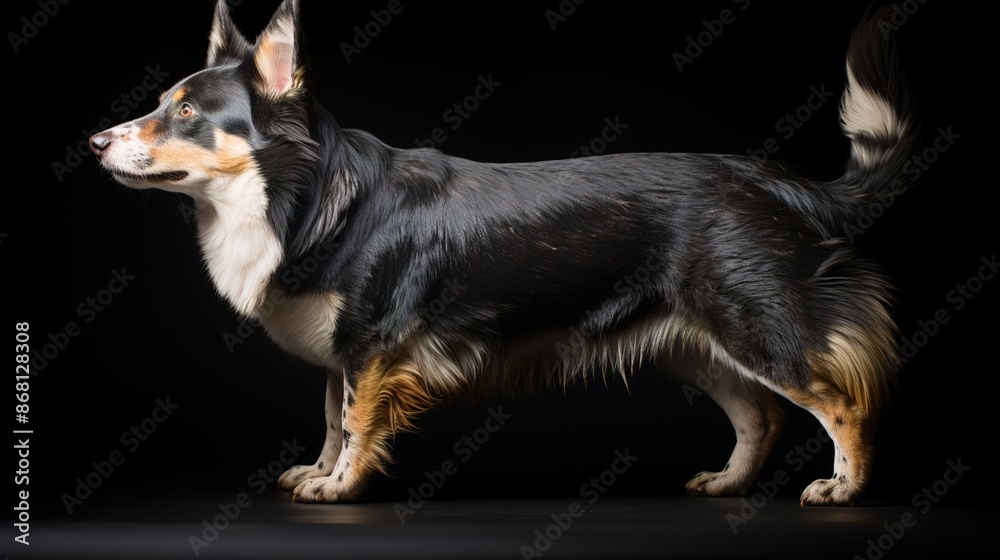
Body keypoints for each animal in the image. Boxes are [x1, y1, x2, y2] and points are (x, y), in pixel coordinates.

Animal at [90, 1, 916, 508]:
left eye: (185, 112)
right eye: (160, 104)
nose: (94, 142)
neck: (311, 200)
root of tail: (771, 178)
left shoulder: (372, 347)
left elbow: (353, 422)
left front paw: (341, 488)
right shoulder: (339, 353)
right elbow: (328, 419)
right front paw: (320, 473)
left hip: (756, 326)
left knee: (844, 404)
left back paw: (845, 491)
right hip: (698, 346)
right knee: (761, 418)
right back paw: (728, 482)